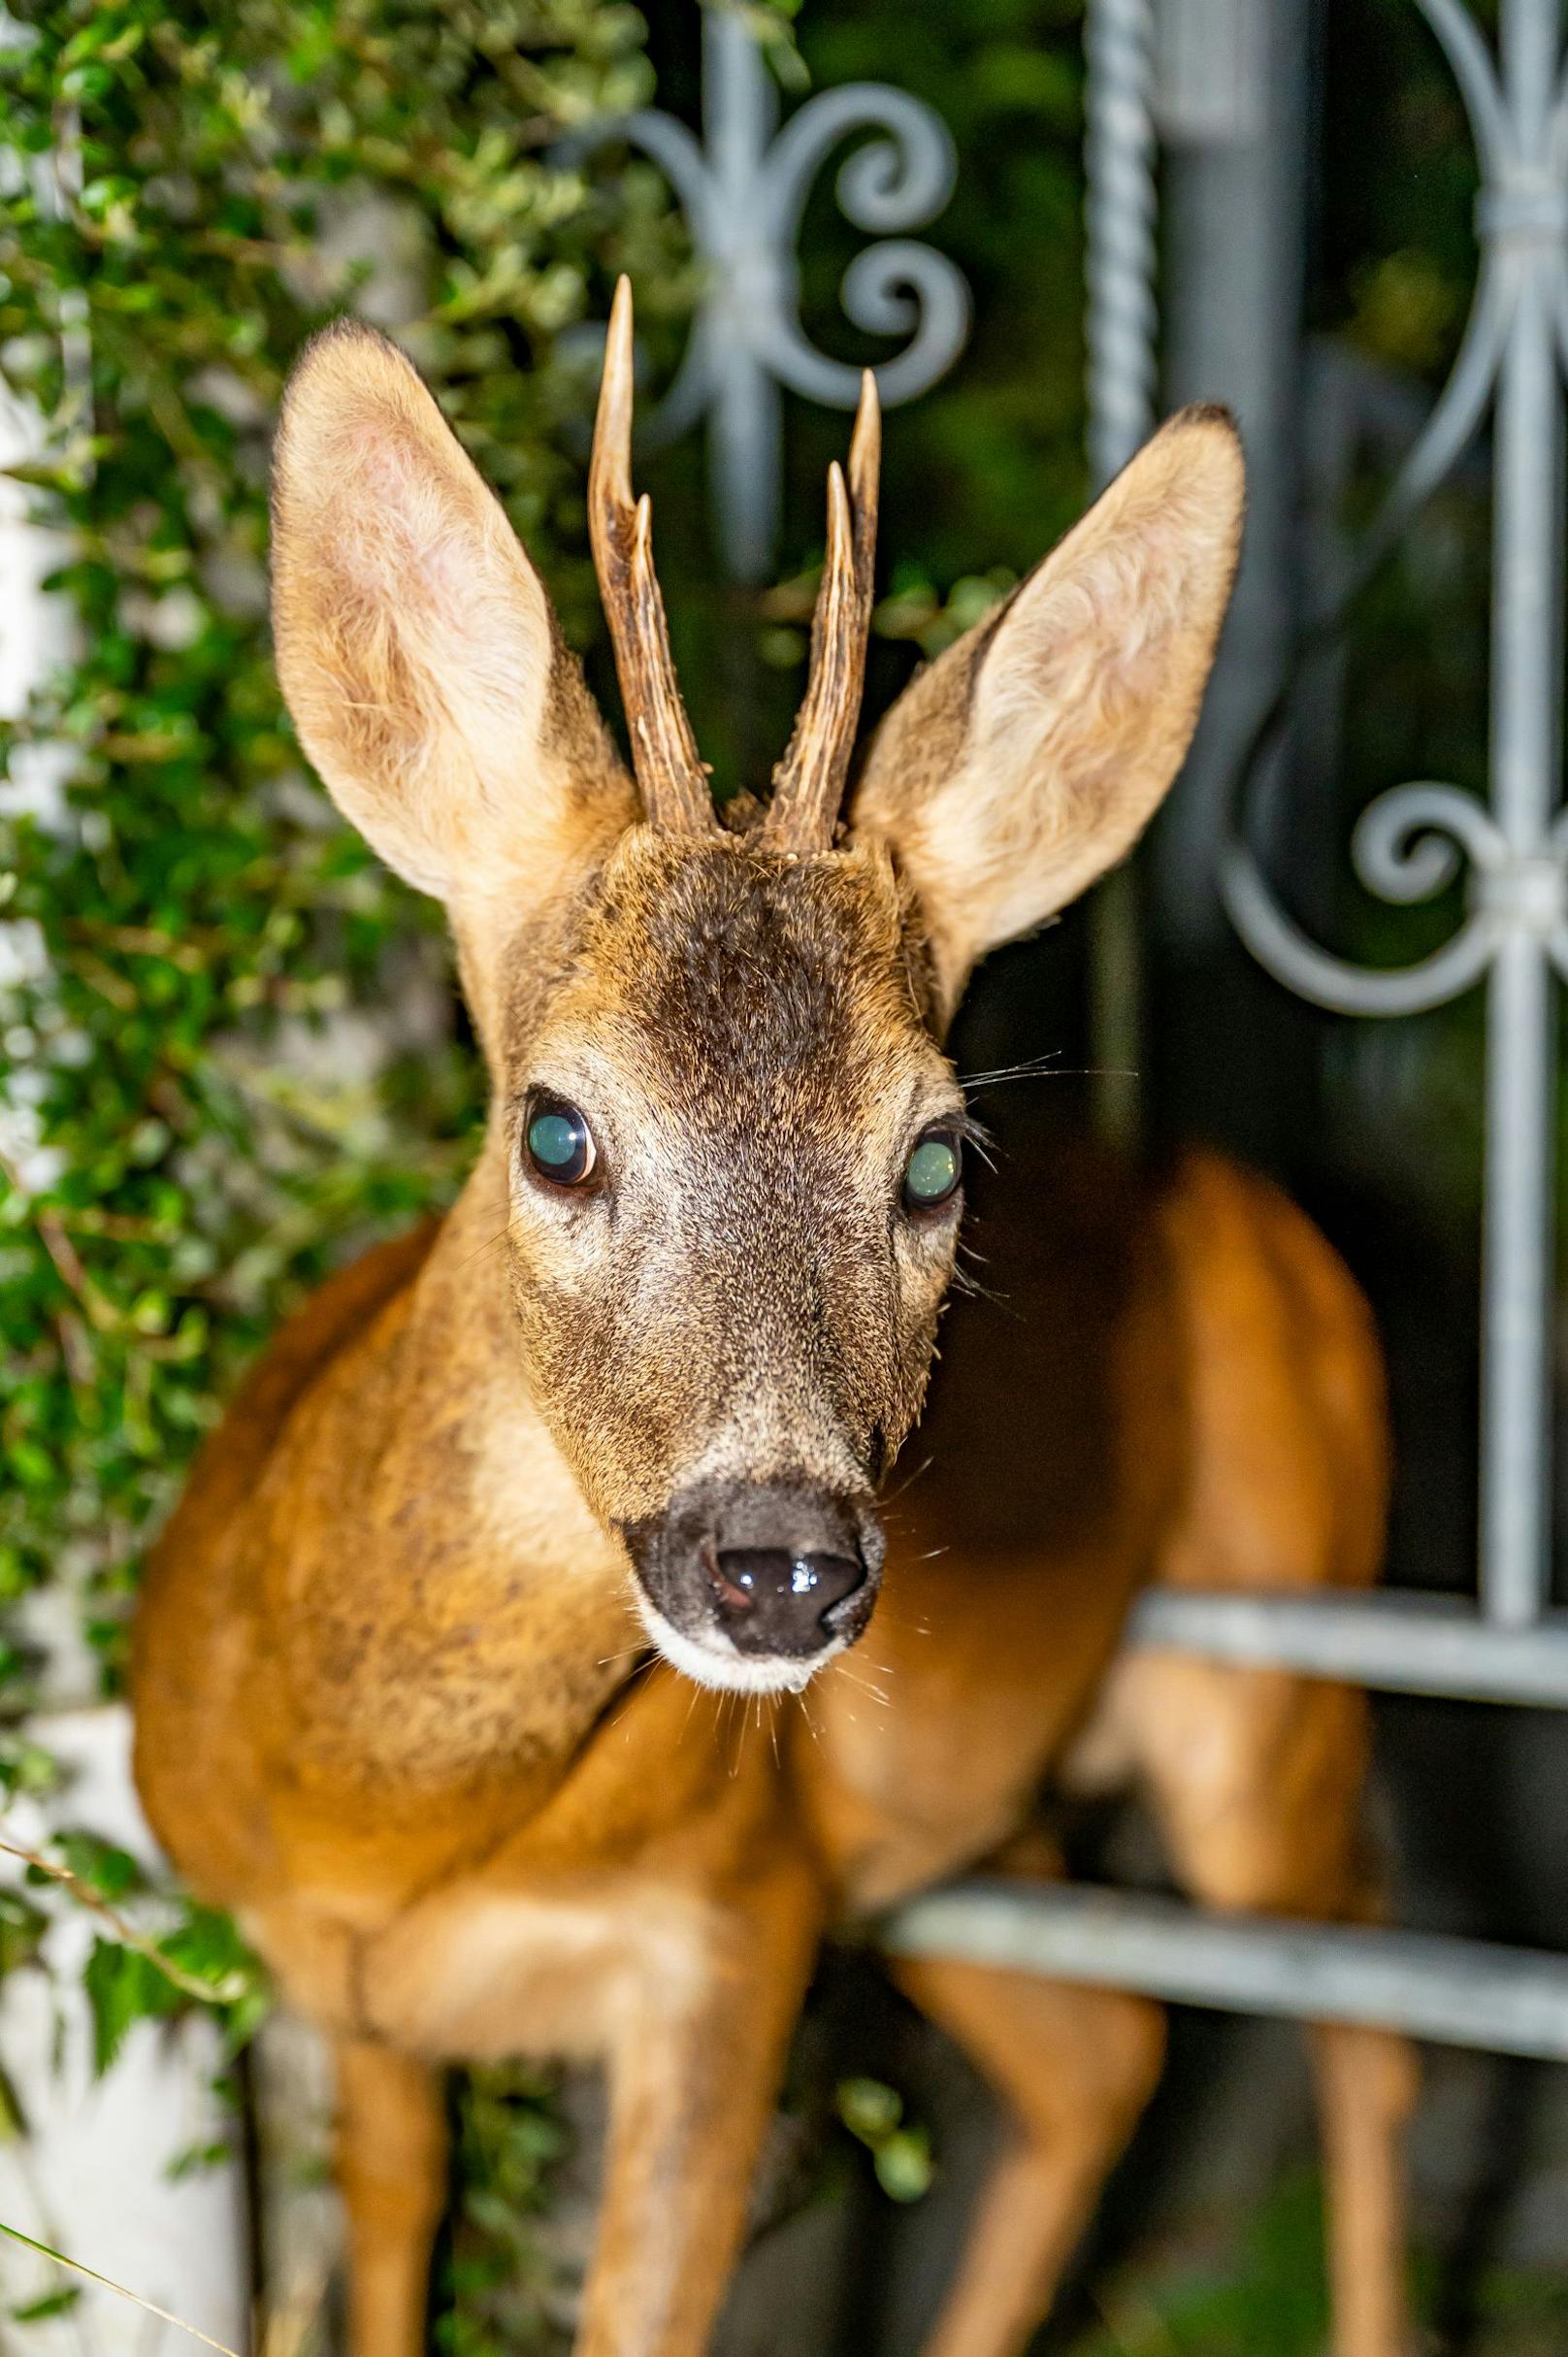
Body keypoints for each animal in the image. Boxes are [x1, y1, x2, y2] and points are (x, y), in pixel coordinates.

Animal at [128, 280, 1415, 2357]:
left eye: (936, 1156)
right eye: (554, 1127)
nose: (781, 1564)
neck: (384, 1823)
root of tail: (1251, 1197)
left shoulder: (728, 1924)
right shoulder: (346, 1993)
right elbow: (390, 2260)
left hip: (1275, 1655)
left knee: (1357, 2007)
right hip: (963, 1834)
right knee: (1101, 2046)